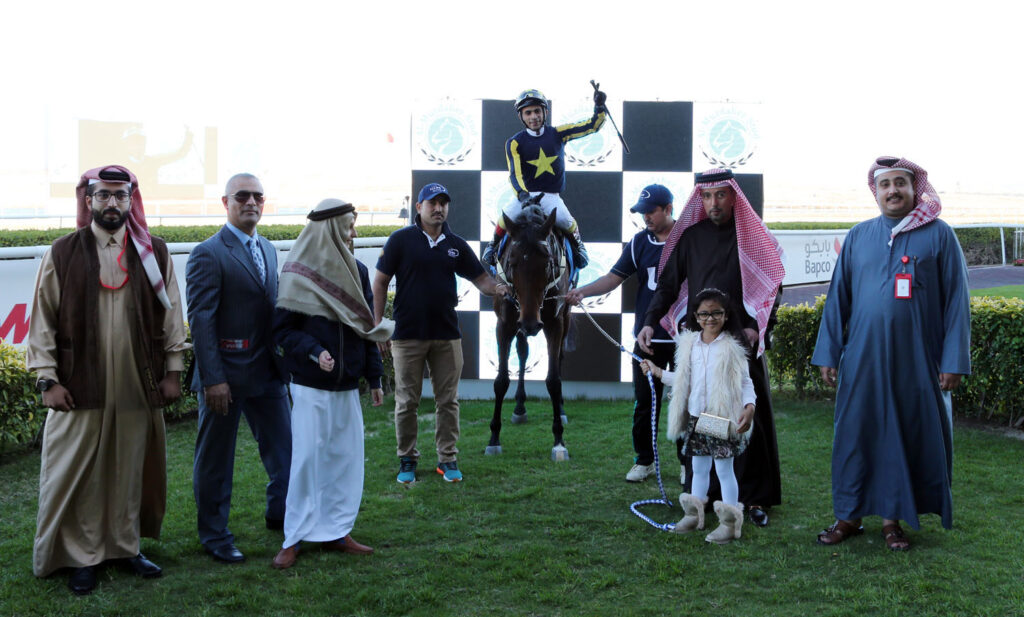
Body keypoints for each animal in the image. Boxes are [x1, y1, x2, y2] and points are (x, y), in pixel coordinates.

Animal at [485, 202, 574, 461]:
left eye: (546, 263)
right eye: (512, 263)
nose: (531, 324)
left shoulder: (554, 322)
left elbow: (553, 380)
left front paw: (558, 439)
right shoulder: (505, 323)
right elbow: (501, 380)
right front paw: (494, 437)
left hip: (565, 316)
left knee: (558, 357)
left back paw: (560, 409)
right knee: (523, 352)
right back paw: (519, 407)